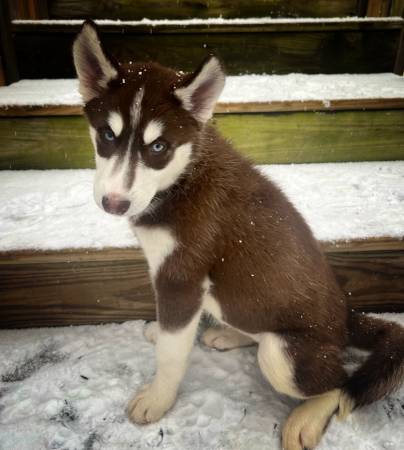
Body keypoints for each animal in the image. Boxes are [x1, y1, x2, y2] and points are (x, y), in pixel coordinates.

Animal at [73, 21, 404, 450]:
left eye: (159, 146)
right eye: (107, 136)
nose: (114, 203)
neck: (181, 179)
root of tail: (345, 318)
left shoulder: (181, 278)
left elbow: (172, 354)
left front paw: (157, 399)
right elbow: (172, 333)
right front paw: (159, 332)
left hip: (283, 357)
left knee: (338, 383)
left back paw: (306, 418)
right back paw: (229, 335)